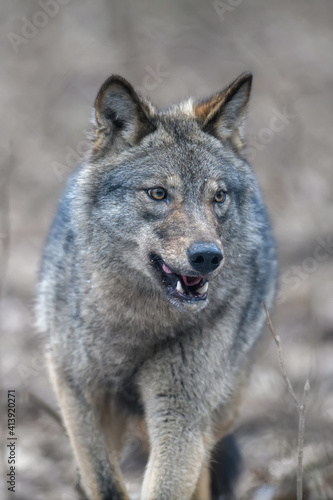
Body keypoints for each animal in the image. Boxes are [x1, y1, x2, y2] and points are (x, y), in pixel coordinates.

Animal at [35, 71, 274, 500]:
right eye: (159, 193)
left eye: (218, 196)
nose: (208, 256)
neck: (136, 324)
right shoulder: (76, 388)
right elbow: (104, 481)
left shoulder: (181, 408)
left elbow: (167, 485)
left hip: (217, 410)